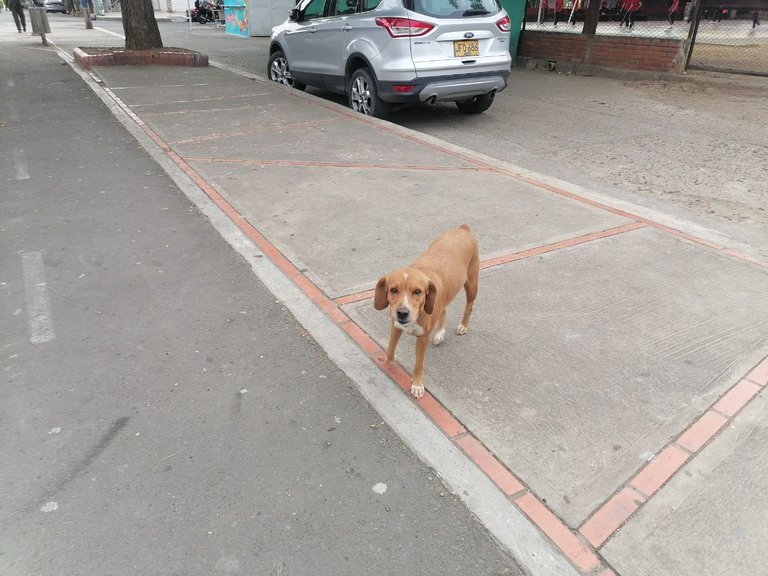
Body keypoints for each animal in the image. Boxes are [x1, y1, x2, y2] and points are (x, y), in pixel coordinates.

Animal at [374, 223, 476, 398]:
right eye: (393, 290)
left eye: (417, 291)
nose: (402, 313)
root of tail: (462, 229)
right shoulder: (396, 326)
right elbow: (389, 351)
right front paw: (391, 359)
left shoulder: (422, 339)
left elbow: (418, 365)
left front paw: (417, 384)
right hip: (441, 299)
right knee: (443, 310)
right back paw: (440, 333)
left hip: (471, 285)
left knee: (469, 306)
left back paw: (463, 325)